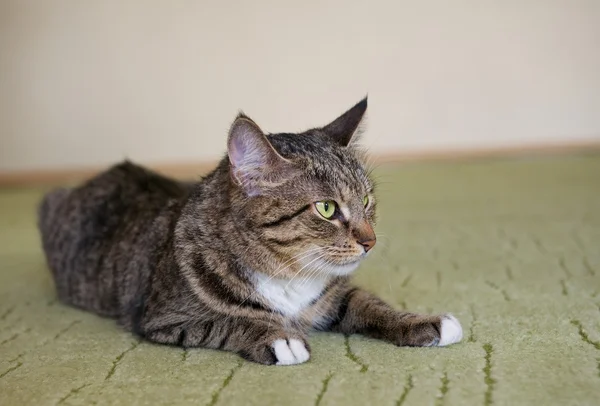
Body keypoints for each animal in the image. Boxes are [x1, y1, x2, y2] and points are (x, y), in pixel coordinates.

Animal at [38, 97, 464, 364]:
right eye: (327, 208)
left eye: (367, 199)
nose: (370, 241)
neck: (289, 277)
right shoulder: (163, 318)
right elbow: (227, 320)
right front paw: (277, 336)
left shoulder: (336, 295)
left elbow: (369, 303)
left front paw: (421, 322)